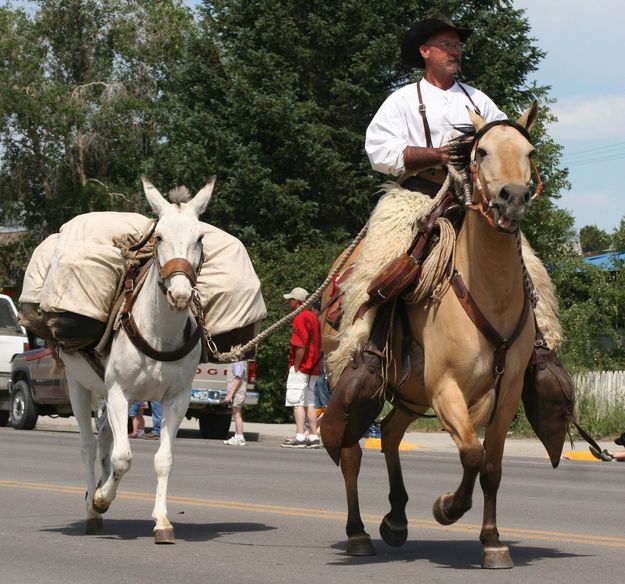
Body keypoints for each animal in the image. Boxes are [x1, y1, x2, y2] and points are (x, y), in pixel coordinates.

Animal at [320, 102, 544, 568]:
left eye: (529, 152)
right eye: (482, 152)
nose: (512, 198)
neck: (487, 290)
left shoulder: (506, 392)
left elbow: (491, 466)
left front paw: (493, 542)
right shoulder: (446, 387)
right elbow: (472, 453)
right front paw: (447, 508)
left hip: (412, 392)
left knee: (389, 434)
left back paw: (396, 519)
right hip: (344, 375)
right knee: (351, 453)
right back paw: (358, 533)